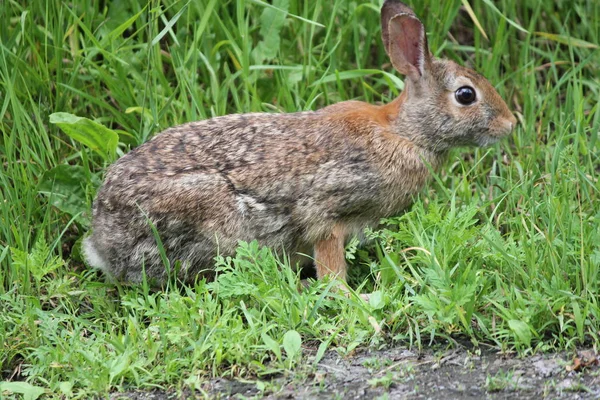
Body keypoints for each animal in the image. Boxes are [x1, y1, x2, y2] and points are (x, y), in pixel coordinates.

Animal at [83, 0, 516, 286]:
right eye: (466, 95)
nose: (511, 124)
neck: (404, 132)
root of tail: (102, 241)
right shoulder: (329, 210)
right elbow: (328, 255)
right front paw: (347, 295)